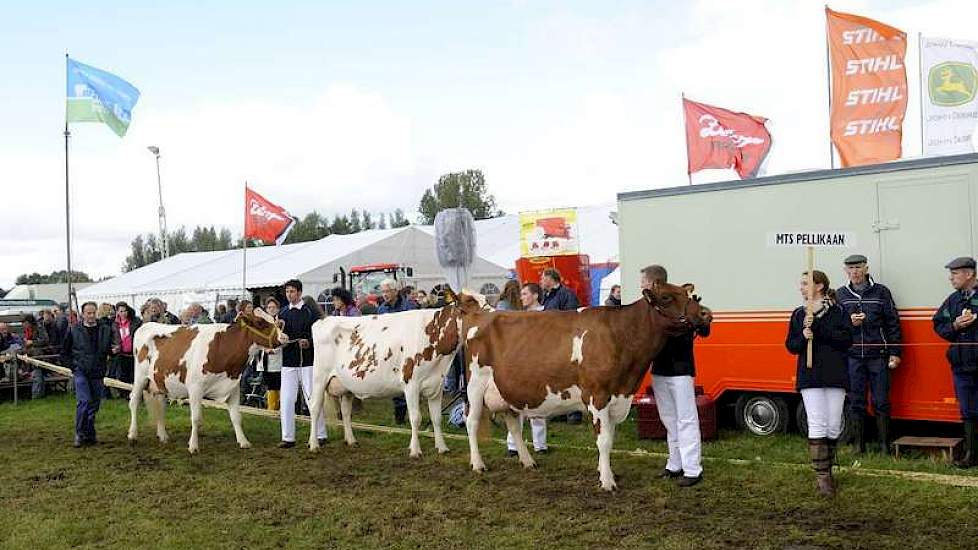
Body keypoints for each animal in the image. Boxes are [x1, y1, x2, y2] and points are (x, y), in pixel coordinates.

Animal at [127, 310, 286, 458]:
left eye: (274, 319)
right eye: (260, 322)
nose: (284, 337)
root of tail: (147, 324)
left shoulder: (233, 387)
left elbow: (236, 416)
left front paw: (243, 441)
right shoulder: (195, 388)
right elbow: (196, 418)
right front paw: (193, 446)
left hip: (159, 381)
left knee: (161, 405)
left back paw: (163, 435)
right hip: (140, 377)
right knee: (134, 401)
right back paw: (133, 434)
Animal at [306, 294, 486, 458]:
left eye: (486, 301)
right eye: (470, 304)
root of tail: (325, 319)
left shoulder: (437, 385)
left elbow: (436, 418)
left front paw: (442, 447)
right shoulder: (411, 384)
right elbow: (415, 418)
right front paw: (415, 450)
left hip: (346, 385)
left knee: (345, 411)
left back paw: (351, 440)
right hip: (319, 377)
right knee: (314, 407)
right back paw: (314, 445)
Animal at [462, 282, 704, 494]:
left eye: (689, 294)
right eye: (666, 297)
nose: (704, 314)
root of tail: (482, 315)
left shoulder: (616, 399)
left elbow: (609, 439)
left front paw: (603, 470)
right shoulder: (597, 396)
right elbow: (603, 441)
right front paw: (607, 481)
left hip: (506, 392)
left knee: (513, 425)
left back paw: (528, 461)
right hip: (475, 386)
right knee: (471, 422)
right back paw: (478, 464)